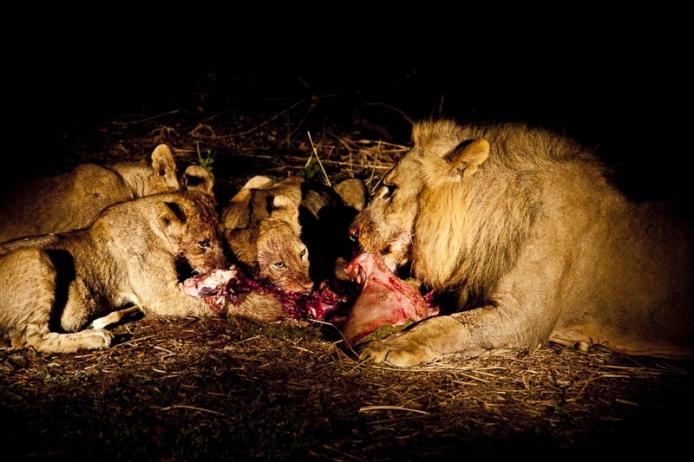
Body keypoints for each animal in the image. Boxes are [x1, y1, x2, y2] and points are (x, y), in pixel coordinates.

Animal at [0, 189, 227, 352]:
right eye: (203, 243)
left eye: (222, 237)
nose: (225, 265)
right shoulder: (162, 296)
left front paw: (104, 319)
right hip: (35, 255)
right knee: (33, 338)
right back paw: (95, 338)